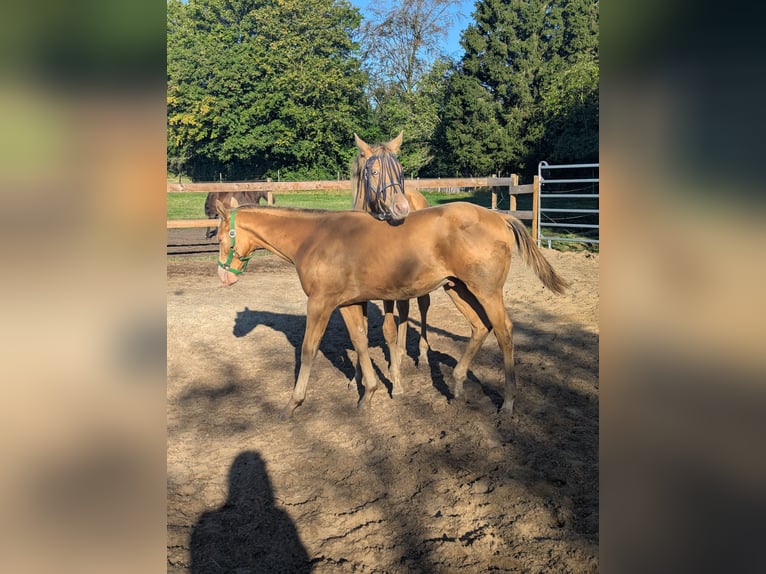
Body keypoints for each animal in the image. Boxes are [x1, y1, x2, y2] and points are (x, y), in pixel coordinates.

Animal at [214, 201, 569, 418]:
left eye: (218, 236)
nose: (224, 277)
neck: (314, 239)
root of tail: (499, 217)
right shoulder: (348, 303)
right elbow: (359, 343)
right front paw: (368, 394)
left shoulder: (320, 303)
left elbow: (308, 350)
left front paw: (292, 403)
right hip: (457, 288)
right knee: (480, 327)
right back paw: (455, 384)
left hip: (487, 291)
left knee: (504, 331)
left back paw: (507, 403)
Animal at [351, 132, 432, 394]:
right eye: (374, 172)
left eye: (400, 171)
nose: (402, 207)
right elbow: (363, 329)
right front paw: (356, 377)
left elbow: (388, 329)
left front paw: (395, 381)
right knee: (404, 310)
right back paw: (400, 353)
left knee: (423, 306)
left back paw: (421, 355)